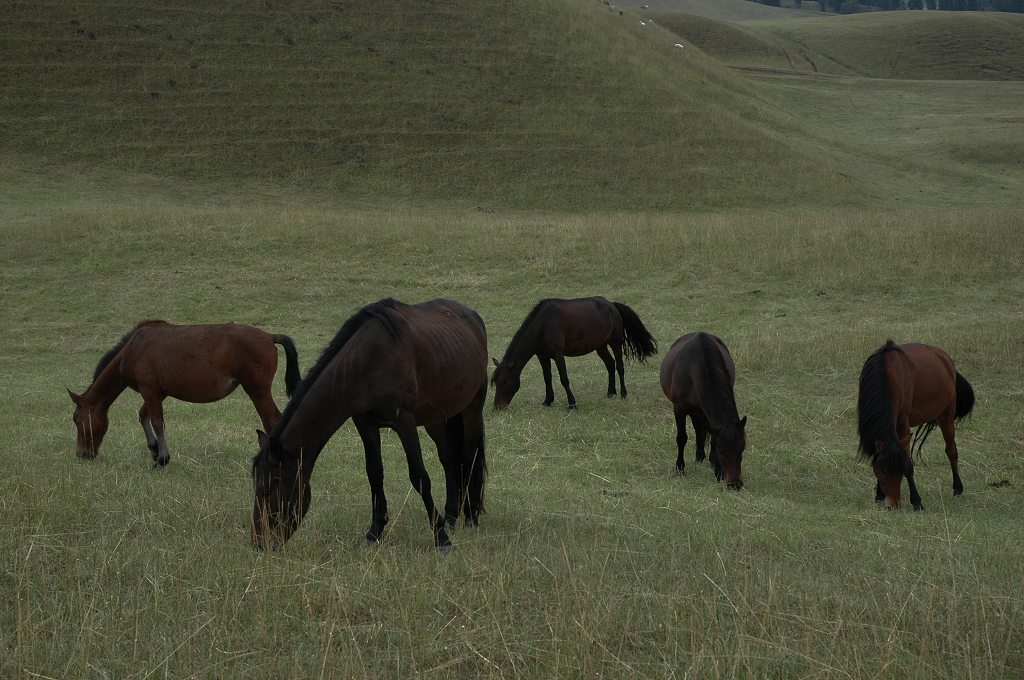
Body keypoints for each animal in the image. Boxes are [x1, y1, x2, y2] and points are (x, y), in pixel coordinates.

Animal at [67, 321, 299, 464]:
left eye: (78, 420)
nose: (82, 454)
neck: (132, 348)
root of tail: (269, 336)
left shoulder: (149, 390)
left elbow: (157, 421)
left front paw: (162, 459)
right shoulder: (159, 392)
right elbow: (144, 416)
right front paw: (154, 449)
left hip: (258, 391)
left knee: (271, 420)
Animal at [248, 299, 487, 553]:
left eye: (269, 490)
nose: (259, 543)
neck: (368, 362)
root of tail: (471, 315)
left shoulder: (405, 422)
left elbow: (420, 477)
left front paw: (441, 538)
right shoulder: (365, 424)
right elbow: (374, 474)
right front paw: (374, 532)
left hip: (472, 408)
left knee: (469, 458)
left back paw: (470, 518)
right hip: (437, 418)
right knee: (449, 458)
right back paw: (450, 518)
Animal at [489, 296, 655, 409]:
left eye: (505, 381)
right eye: (496, 382)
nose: (498, 406)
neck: (542, 325)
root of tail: (612, 305)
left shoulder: (558, 355)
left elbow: (564, 379)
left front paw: (572, 404)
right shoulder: (543, 356)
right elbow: (547, 378)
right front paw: (548, 401)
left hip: (615, 343)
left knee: (620, 367)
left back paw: (623, 394)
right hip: (600, 347)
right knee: (610, 364)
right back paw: (610, 393)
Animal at [659, 329, 749, 485]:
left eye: (742, 449)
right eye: (721, 451)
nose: (735, 484)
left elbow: (713, 437)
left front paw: (718, 471)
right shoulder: (679, 408)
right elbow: (681, 438)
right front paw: (680, 468)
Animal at [856, 340, 974, 510]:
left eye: (899, 472)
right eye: (882, 471)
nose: (893, 504)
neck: (886, 374)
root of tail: (944, 357)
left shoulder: (903, 427)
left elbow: (908, 465)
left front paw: (917, 502)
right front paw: (879, 496)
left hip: (946, 415)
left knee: (951, 451)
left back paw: (958, 488)